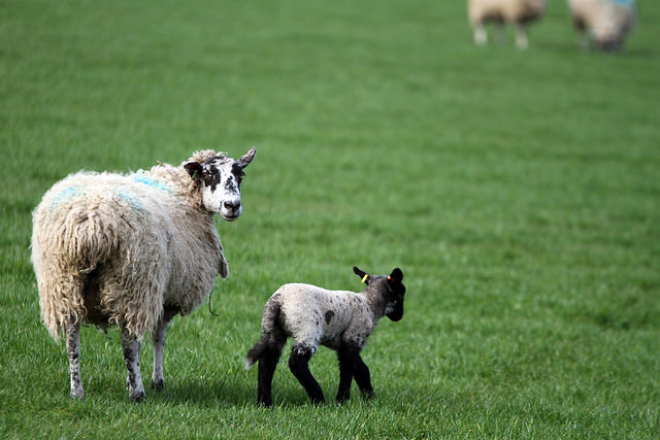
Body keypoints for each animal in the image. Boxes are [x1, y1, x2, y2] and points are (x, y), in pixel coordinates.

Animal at [32, 146, 256, 400]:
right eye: (208, 174)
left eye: (239, 174)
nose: (232, 205)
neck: (182, 191)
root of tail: (90, 225)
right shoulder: (167, 297)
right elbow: (158, 338)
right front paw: (156, 382)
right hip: (135, 282)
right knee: (129, 341)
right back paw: (136, 393)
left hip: (62, 283)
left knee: (72, 339)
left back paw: (77, 391)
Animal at [245, 264, 404, 406]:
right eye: (401, 293)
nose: (399, 317)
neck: (370, 305)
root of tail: (277, 300)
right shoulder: (353, 337)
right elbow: (348, 369)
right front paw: (342, 401)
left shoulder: (345, 342)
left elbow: (362, 369)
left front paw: (369, 397)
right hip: (307, 330)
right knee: (296, 363)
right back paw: (318, 399)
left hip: (275, 332)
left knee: (267, 361)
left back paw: (264, 403)